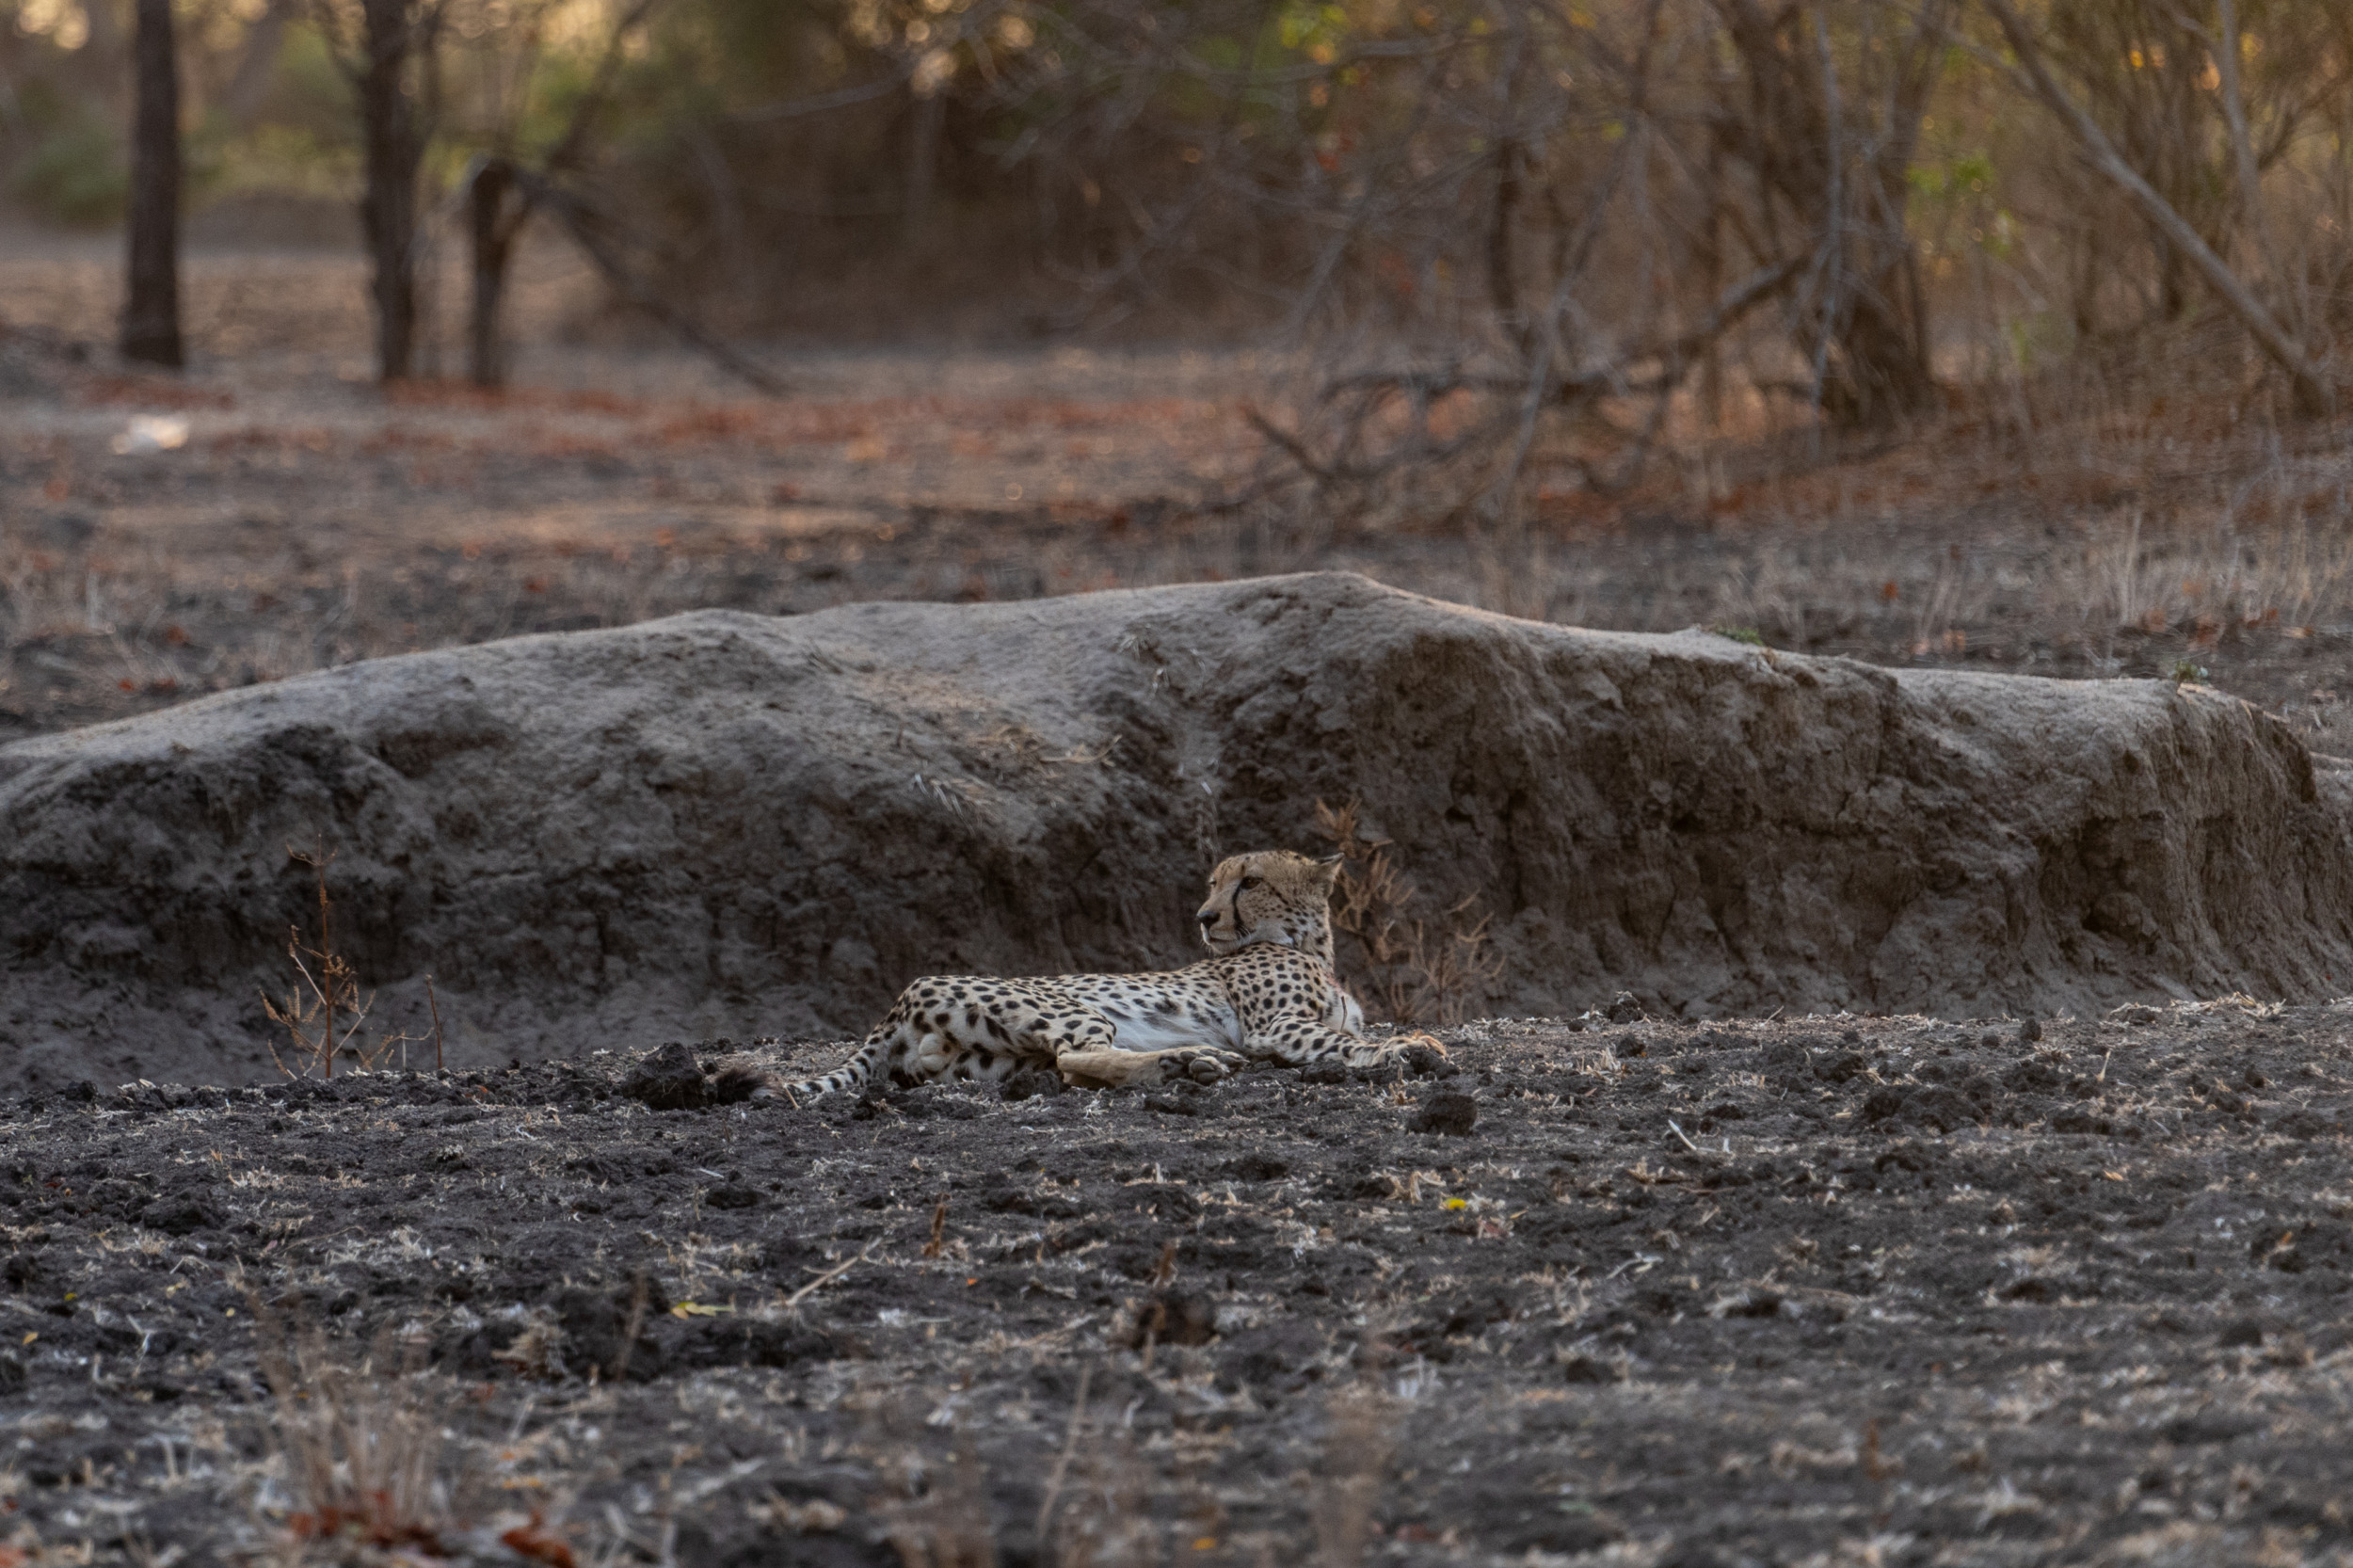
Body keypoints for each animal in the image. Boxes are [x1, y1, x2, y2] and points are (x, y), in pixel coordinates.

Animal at [748, 847, 1393, 1092]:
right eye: (1215, 882)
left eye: (1251, 882)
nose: (1204, 917)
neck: (1310, 947)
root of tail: (901, 1000)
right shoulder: (1273, 1027)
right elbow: (1340, 1039)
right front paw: (1400, 1050)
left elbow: (1341, 1034)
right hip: (1072, 1008)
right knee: (1073, 1058)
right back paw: (1184, 1060)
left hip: (990, 1061)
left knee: (1066, 1067)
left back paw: (1184, 1062)